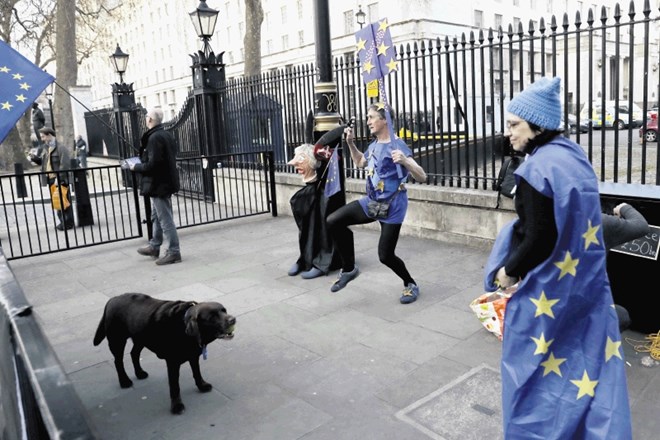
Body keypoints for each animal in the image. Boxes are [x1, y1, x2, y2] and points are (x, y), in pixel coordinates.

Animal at [93, 294, 236, 414]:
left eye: (224, 310)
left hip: (140, 337)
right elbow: (174, 386)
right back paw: (124, 381)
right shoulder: (172, 363)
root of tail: (112, 299)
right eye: (212, 317)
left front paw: (201, 385)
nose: (233, 319)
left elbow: (197, 373)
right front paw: (176, 405)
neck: (183, 325)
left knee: (134, 354)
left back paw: (139, 373)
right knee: (118, 361)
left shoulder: (193, 356)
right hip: (117, 341)